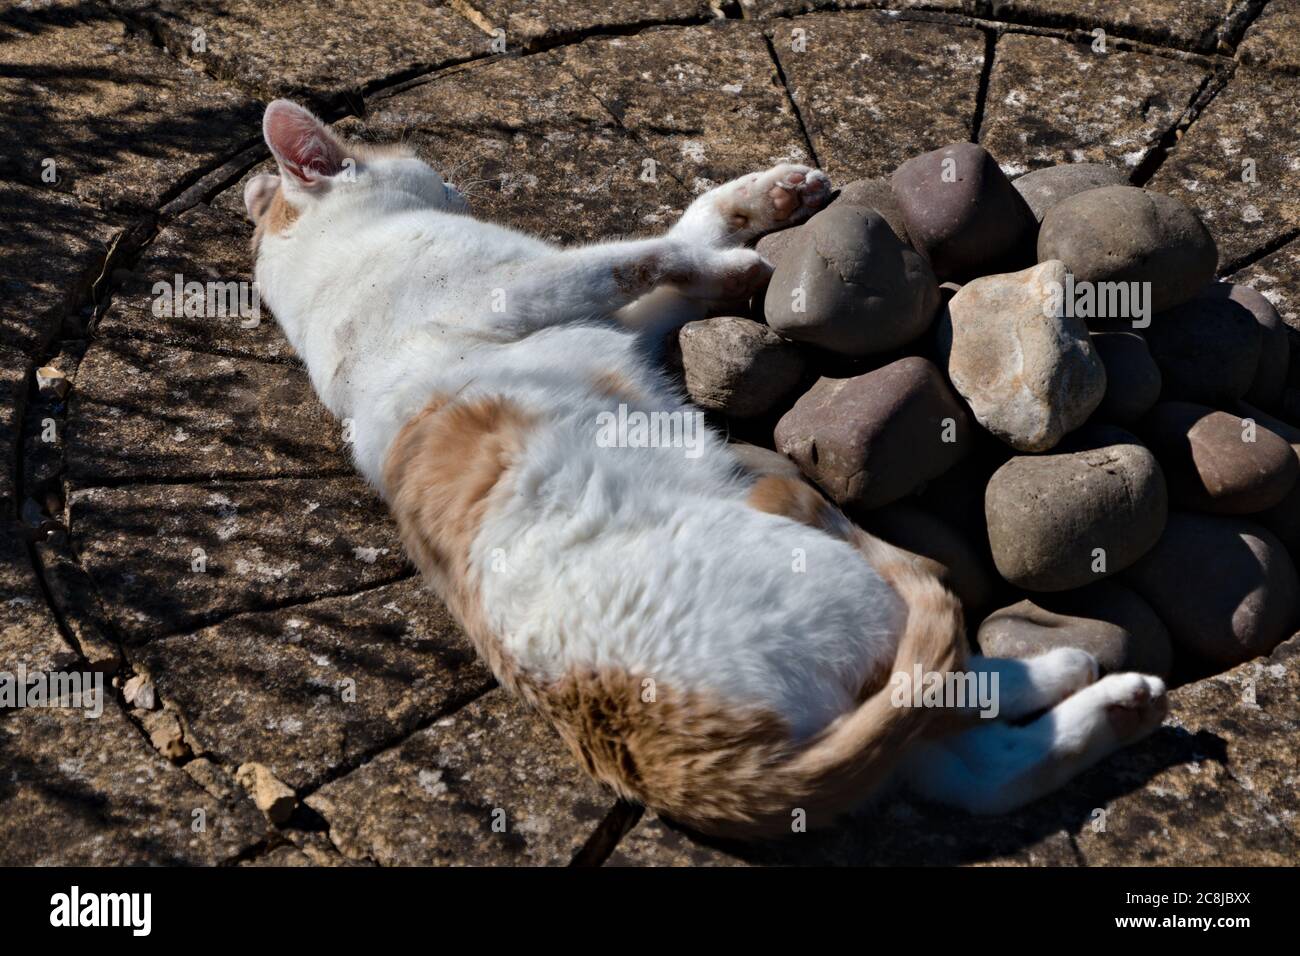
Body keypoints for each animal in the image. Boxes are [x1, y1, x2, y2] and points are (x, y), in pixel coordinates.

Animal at [244, 100, 1170, 842]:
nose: (459, 189)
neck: (328, 279)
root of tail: (656, 760)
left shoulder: (618, 322)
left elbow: (677, 245)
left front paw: (765, 200)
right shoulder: (544, 282)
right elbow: (646, 252)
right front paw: (742, 260)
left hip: (878, 736)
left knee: (982, 770)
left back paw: (1120, 702)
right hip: (832, 576)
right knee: (955, 685)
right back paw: (1064, 668)